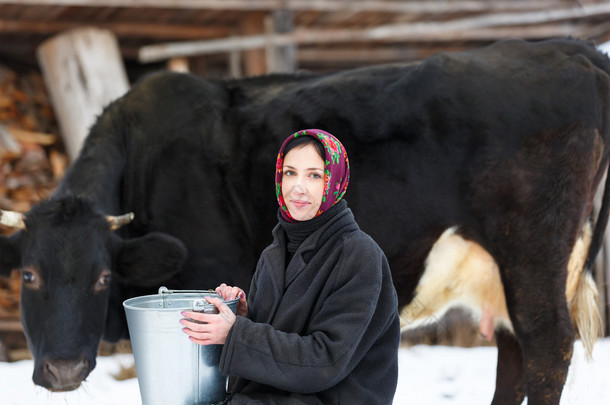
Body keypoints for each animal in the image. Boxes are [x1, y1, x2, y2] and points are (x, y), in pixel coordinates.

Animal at [1, 37, 608, 400]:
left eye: (103, 277)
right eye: (28, 276)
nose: (61, 371)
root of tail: (568, 49)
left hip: (532, 251)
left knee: (547, 342)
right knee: (514, 350)